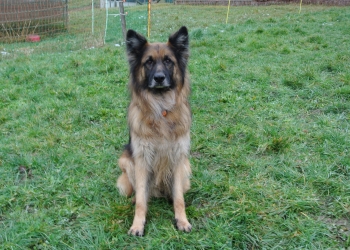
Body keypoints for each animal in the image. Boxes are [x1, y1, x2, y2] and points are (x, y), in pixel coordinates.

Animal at [117, 27, 193, 236]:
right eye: (149, 62)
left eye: (168, 61)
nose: (159, 78)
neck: (161, 109)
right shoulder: (142, 159)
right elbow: (142, 201)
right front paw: (137, 225)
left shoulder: (178, 157)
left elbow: (179, 199)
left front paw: (182, 220)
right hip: (126, 161)